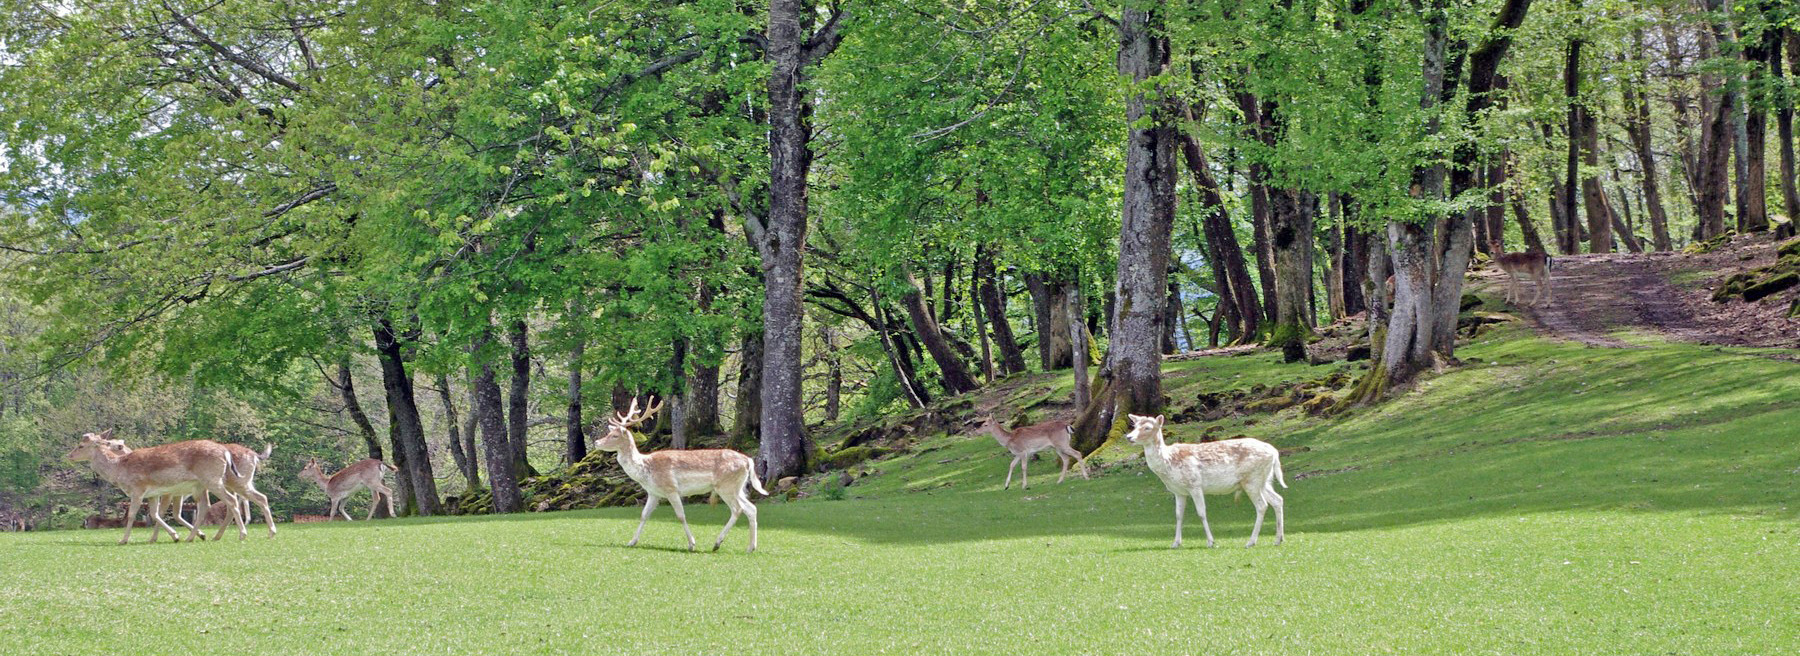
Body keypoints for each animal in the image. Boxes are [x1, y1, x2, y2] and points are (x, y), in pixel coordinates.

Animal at [594, 400, 770, 555]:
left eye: (615, 435)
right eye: (609, 432)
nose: (596, 442)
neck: (646, 470)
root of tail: (748, 460)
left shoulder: (671, 488)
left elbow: (681, 515)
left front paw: (692, 544)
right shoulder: (654, 493)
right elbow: (644, 515)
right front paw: (631, 542)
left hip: (726, 486)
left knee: (738, 509)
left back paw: (717, 543)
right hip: (738, 488)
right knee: (751, 508)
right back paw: (750, 548)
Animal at [1116, 414, 1288, 547]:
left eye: (1147, 427)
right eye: (1134, 425)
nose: (1129, 437)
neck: (1169, 464)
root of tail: (1274, 452)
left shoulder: (1195, 484)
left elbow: (1201, 513)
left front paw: (1211, 541)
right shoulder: (1178, 491)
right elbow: (1178, 515)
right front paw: (1175, 543)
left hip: (1252, 479)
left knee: (1262, 505)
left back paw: (1251, 541)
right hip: (1264, 480)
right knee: (1278, 500)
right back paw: (1278, 539)